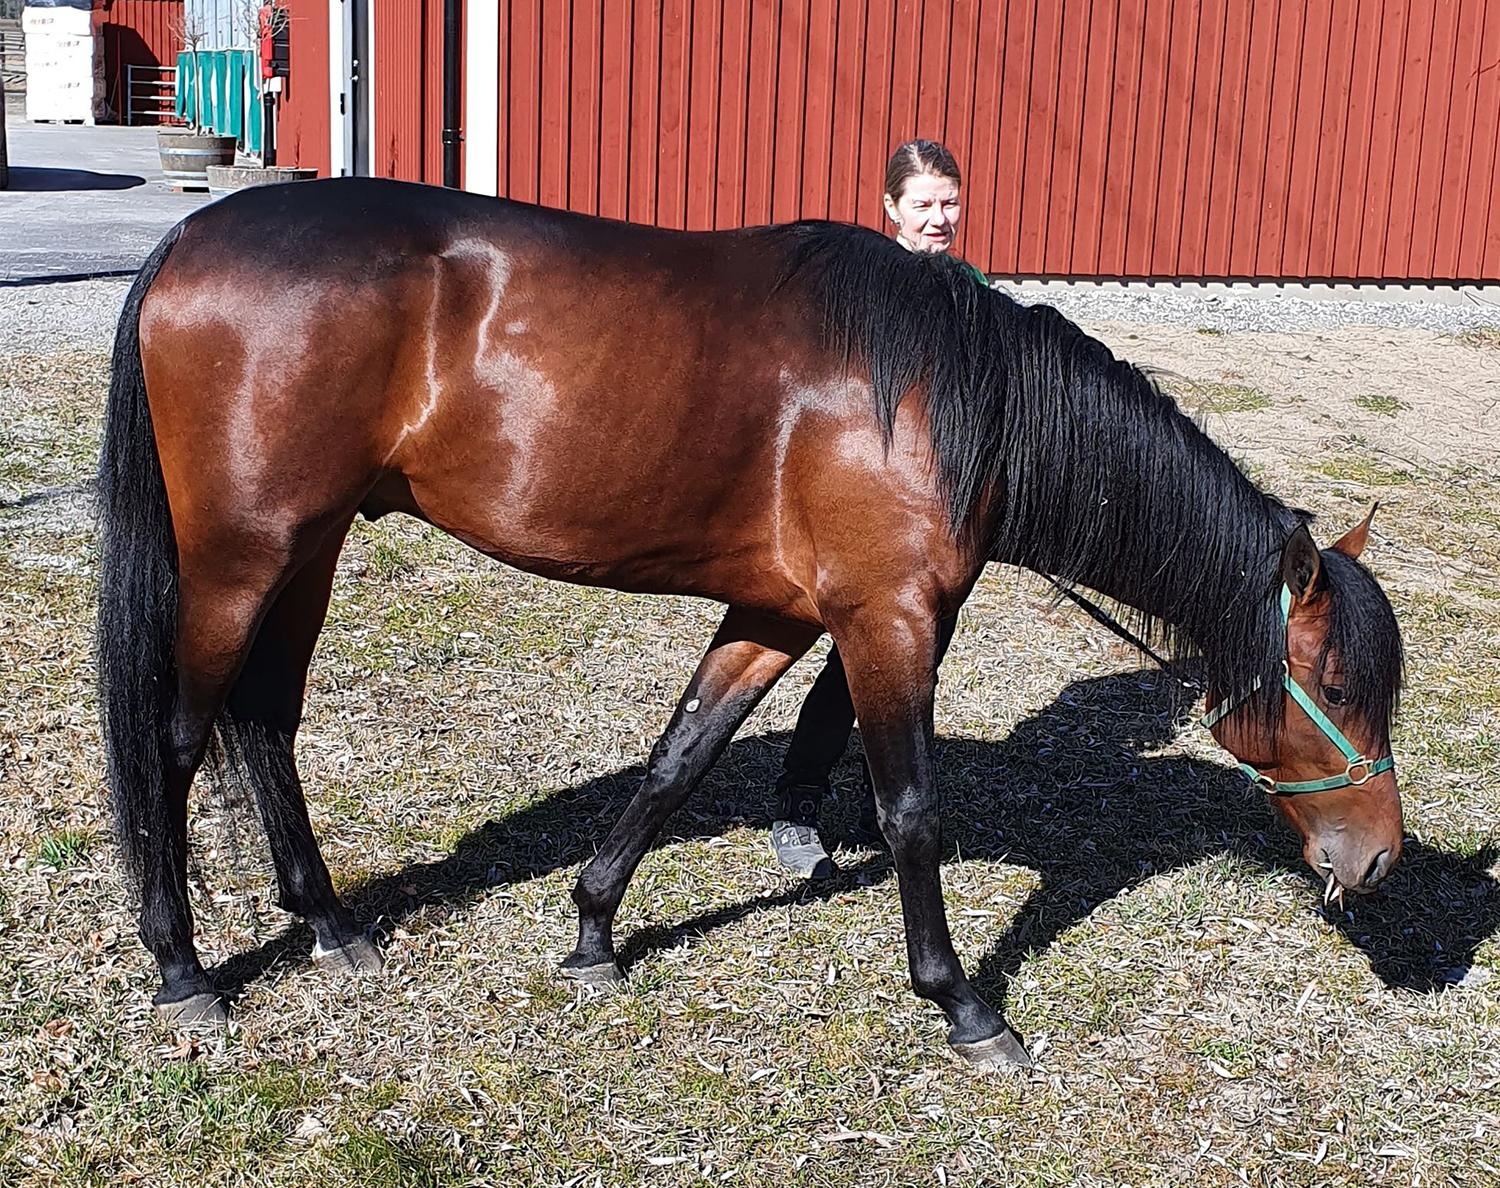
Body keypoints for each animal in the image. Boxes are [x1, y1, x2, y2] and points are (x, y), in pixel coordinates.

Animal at [96, 178, 1404, 1074]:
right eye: (1340, 689)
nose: (1379, 861)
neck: (951, 393)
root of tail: (188, 241)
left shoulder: (774, 614)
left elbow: (681, 757)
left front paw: (594, 931)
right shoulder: (887, 622)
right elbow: (911, 811)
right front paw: (963, 1004)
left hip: (309, 545)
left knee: (266, 724)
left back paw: (329, 922)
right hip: (241, 555)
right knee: (175, 741)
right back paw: (182, 966)